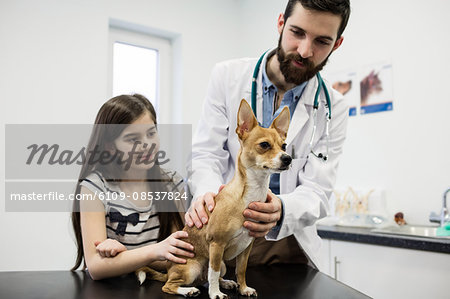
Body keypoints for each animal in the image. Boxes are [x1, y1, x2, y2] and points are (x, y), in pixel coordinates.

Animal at [135, 101, 290, 299]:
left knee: (207, 277)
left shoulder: (246, 248)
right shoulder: (217, 245)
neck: (251, 193)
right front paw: (215, 293)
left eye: (284, 146)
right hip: (192, 268)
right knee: (171, 285)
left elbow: (241, 270)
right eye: (264, 145)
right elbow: (213, 272)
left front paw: (243, 288)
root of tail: (169, 270)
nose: (287, 158)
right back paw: (188, 290)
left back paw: (226, 282)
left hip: (220, 265)